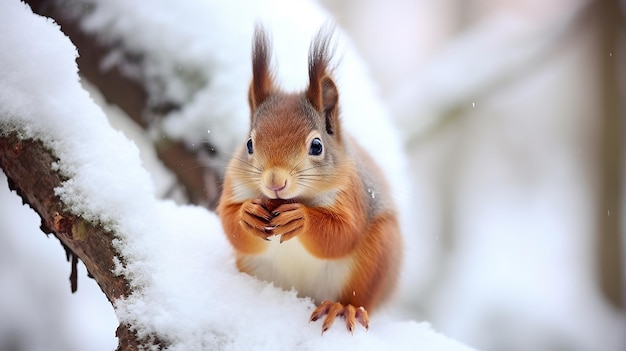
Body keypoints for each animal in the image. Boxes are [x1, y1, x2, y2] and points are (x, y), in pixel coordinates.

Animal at [216, 26, 400, 334]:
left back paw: (343, 308)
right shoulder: (235, 185)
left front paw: (301, 218)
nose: (275, 182)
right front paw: (247, 214)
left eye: (316, 145)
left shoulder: (351, 193)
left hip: (377, 256)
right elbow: (231, 224)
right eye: (250, 144)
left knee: (358, 297)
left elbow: (343, 233)